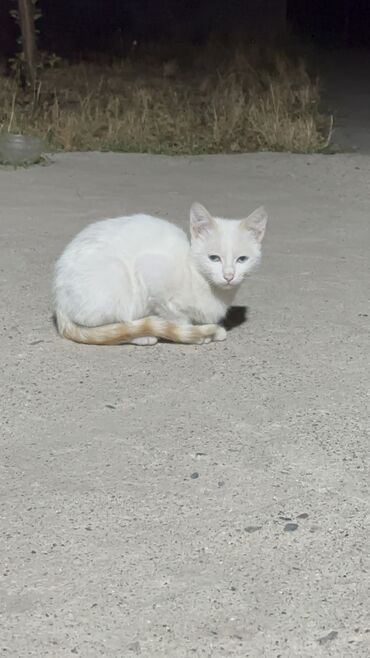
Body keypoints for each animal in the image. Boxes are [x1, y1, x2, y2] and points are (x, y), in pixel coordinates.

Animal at [53, 201, 268, 346]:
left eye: (242, 259)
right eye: (214, 258)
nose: (229, 276)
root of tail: (59, 303)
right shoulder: (151, 274)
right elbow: (176, 318)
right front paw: (196, 334)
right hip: (118, 278)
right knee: (113, 325)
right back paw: (142, 336)